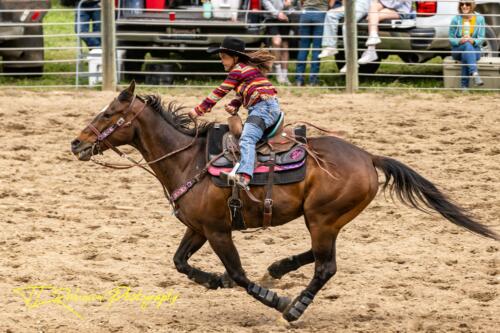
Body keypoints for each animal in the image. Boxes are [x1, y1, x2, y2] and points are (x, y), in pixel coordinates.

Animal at [71, 81, 500, 320]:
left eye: (109, 113)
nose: (76, 143)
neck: (187, 160)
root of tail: (368, 157)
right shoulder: (199, 228)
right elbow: (180, 263)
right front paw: (214, 281)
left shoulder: (218, 231)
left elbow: (239, 274)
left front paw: (270, 299)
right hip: (323, 219)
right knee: (319, 257)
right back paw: (278, 268)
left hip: (323, 218)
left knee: (326, 266)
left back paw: (293, 307)